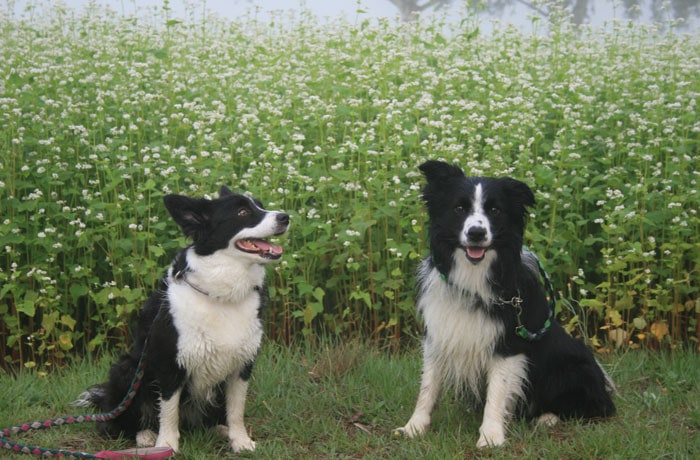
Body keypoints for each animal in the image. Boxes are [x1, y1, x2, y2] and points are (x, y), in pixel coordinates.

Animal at [396, 162, 616, 450]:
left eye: (495, 210)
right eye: (459, 208)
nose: (476, 233)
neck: (474, 279)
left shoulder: (508, 344)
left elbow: (497, 392)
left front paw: (491, 436)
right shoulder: (439, 334)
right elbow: (428, 387)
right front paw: (414, 427)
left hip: (573, 366)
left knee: (593, 408)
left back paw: (548, 417)